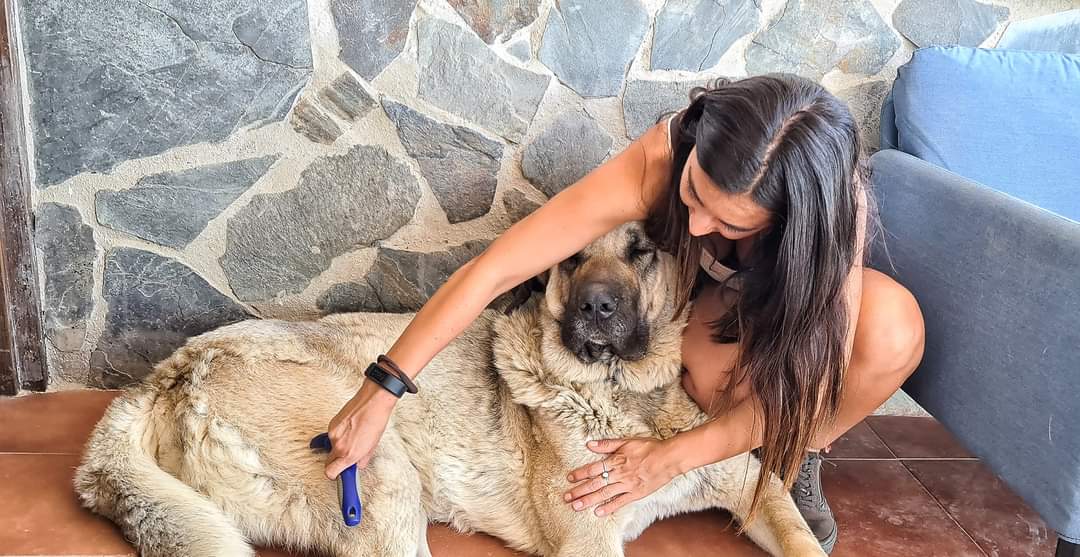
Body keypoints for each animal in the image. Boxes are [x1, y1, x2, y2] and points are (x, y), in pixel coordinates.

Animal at [74, 222, 824, 556]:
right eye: (573, 259)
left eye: (642, 251)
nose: (595, 307)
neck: (627, 394)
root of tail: (169, 372)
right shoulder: (589, 540)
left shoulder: (758, 490)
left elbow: (803, 542)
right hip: (382, 479)